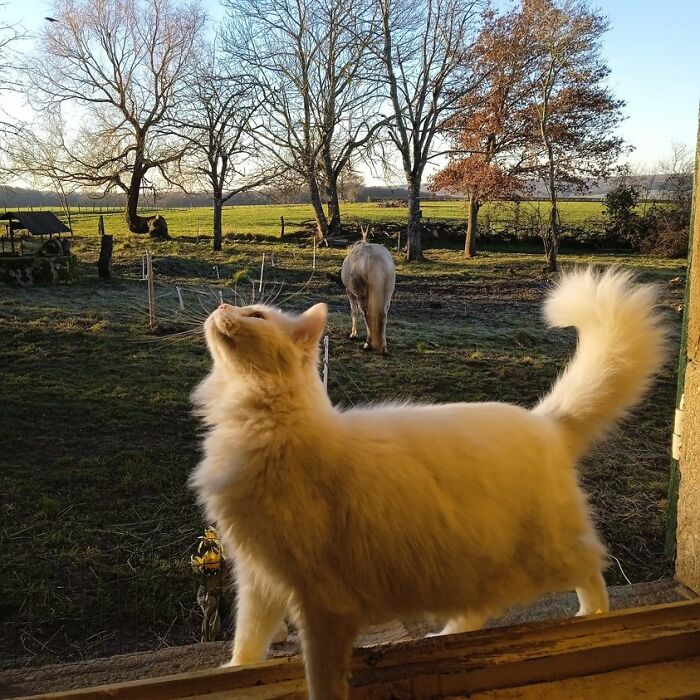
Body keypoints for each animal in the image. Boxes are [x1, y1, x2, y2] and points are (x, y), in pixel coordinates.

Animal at [190, 266, 668, 696]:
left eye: (255, 315)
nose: (220, 307)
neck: (260, 423)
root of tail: (544, 422)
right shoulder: (258, 577)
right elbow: (247, 642)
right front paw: (233, 672)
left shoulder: (321, 602)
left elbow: (320, 678)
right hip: (475, 567)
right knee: (482, 609)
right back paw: (444, 637)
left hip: (545, 554)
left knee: (594, 566)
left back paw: (594, 619)